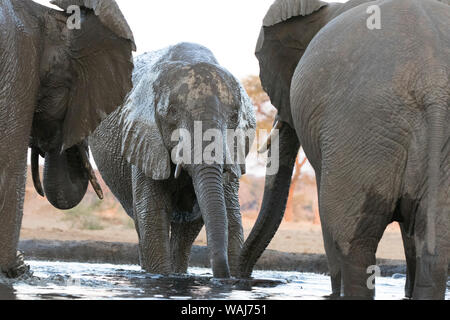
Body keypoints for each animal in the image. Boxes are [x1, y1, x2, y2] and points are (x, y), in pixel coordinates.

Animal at [89, 42, 256, 278]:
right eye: (172, 113)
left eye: (234, 117)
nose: (223, 276)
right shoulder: (144, 140)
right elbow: (152, 214)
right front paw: (161, 276)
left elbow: (220, 214)